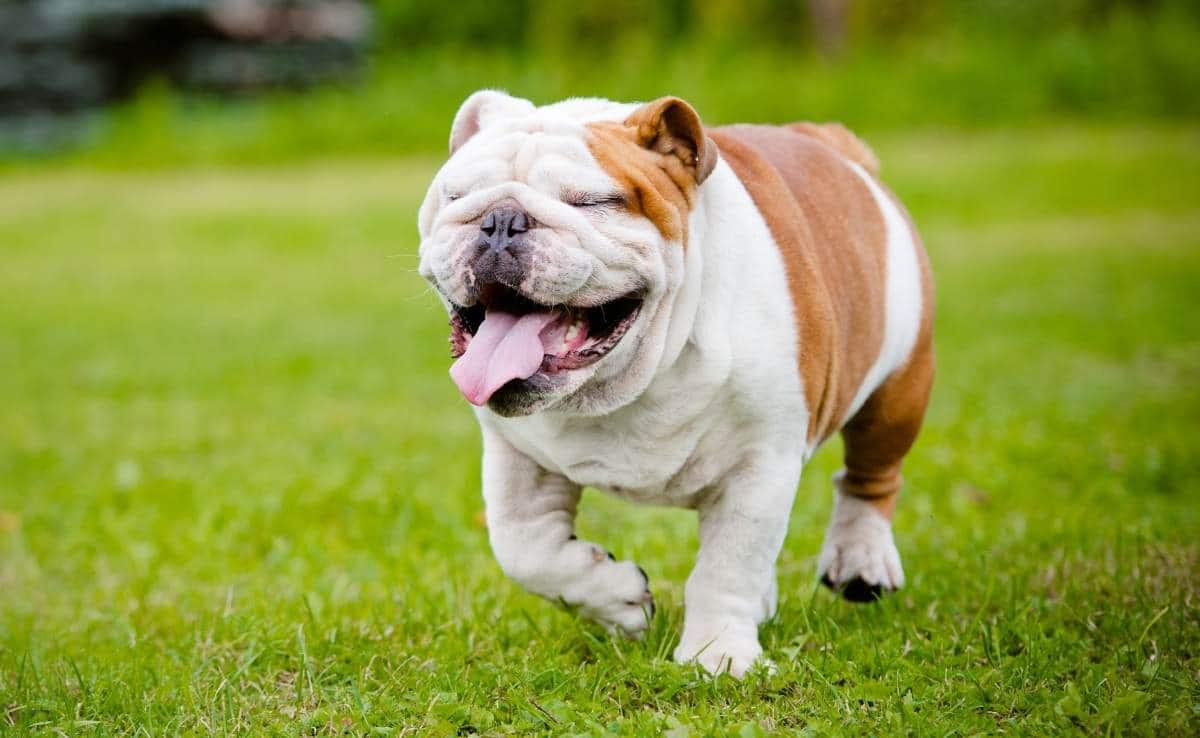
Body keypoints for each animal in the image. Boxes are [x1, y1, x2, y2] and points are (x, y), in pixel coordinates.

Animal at [417, 91, 931, 676]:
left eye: (592, 202)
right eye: (456, 195)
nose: (501, 219)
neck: (635, 373)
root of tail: (830, 143)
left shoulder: (758, 469)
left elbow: (727, 566)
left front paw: (721, 655)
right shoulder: (516, 457)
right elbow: (525, 548)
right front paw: (617, 599)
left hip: (897, 391)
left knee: (871, 477)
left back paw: (861, 560)